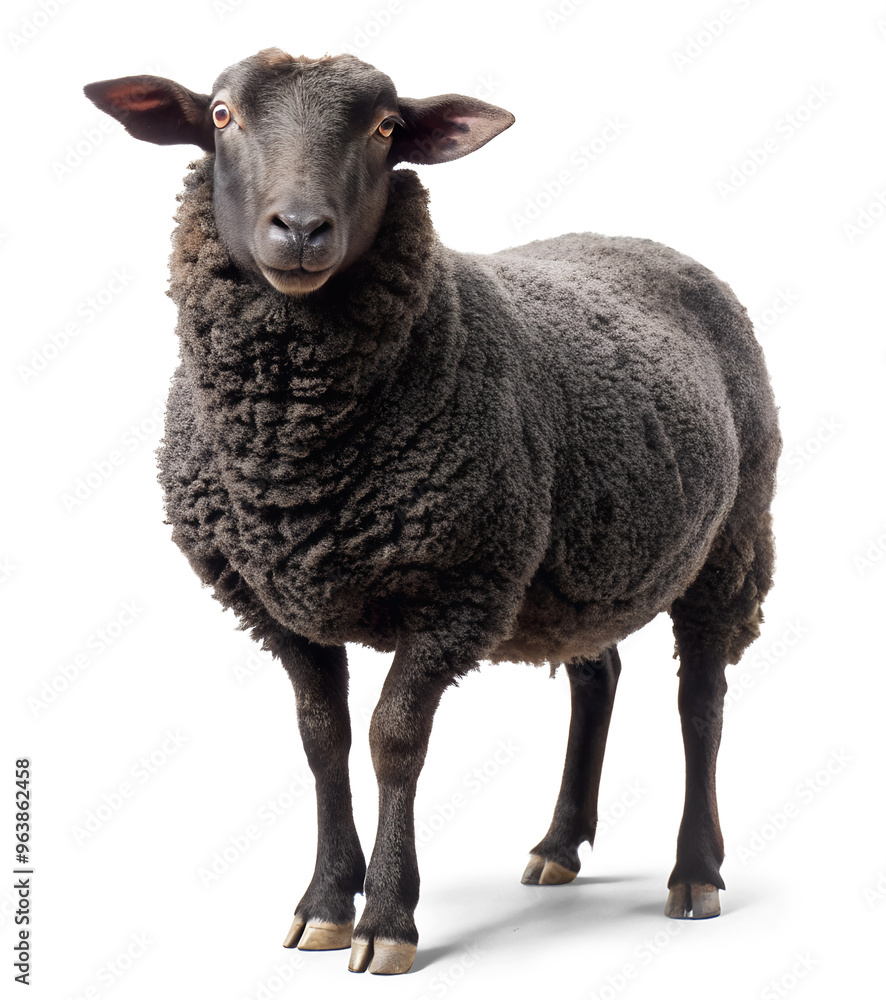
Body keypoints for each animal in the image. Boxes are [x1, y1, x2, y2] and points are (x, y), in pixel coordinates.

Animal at [84, 48, 781, 976]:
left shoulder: (457, 588)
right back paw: (560, 845)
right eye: (223, 115)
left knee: (700, 701)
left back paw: (696, 873)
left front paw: (386, 918)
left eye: (386, 129)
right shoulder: (274, 601)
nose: (300, 229)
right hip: (573, 566)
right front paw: (322, 904)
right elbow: (322, 740)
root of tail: (647, 242)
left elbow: (393, 741)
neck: (293, 458)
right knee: (597, 675)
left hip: (731, 538)